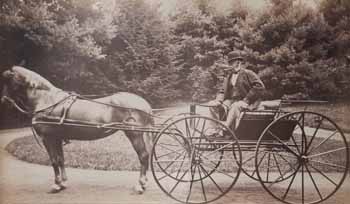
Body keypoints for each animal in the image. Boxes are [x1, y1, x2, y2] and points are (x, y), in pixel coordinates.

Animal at [1, 65, 154, 194]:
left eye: (7, 81)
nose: (3, 102)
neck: (47, 100)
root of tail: (143, 103)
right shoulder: (57, 138)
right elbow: (61, 159)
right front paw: (63, 183)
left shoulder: (48, 138)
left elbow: (54, 160)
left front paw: (56, 185)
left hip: (134, 134)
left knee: (143, 156)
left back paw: (141, 184)